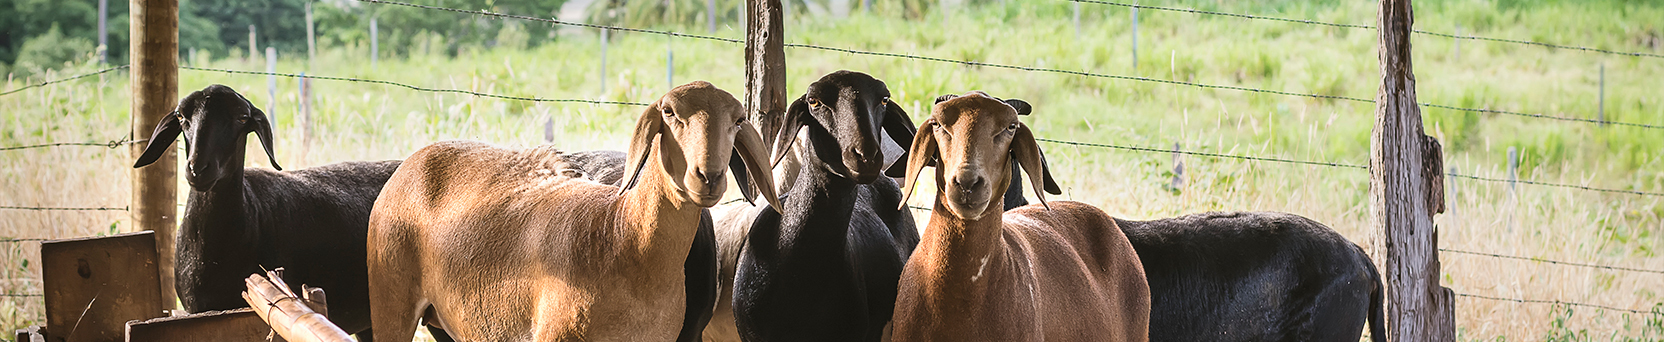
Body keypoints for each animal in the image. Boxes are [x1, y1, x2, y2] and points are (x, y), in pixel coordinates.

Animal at [366, 80, 778, 342]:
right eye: (669, 112)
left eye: (738, 120)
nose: (708, 176)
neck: (621, 237)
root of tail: (413, 160)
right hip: (390, 302)